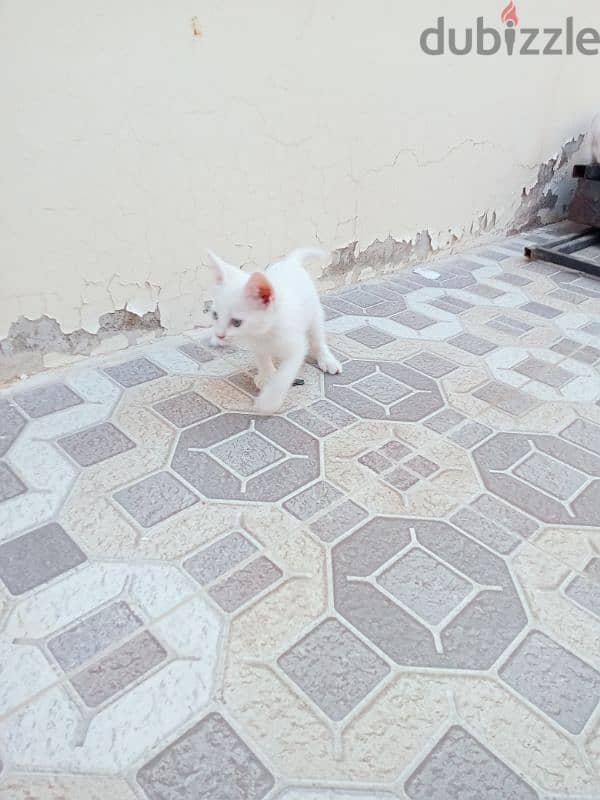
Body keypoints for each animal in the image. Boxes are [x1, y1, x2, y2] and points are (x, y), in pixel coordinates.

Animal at [206, 248, 340, 412]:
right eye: (215, 315)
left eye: (236, 322)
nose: (220, 335)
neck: (265, 332)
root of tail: (290, 262)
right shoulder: (257, 344)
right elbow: (262, 358)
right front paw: (266, 375)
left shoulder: (296, 349)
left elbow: (283, 377)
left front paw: (269, 402)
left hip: (314, 314)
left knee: (317, 340)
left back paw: (327, 360)